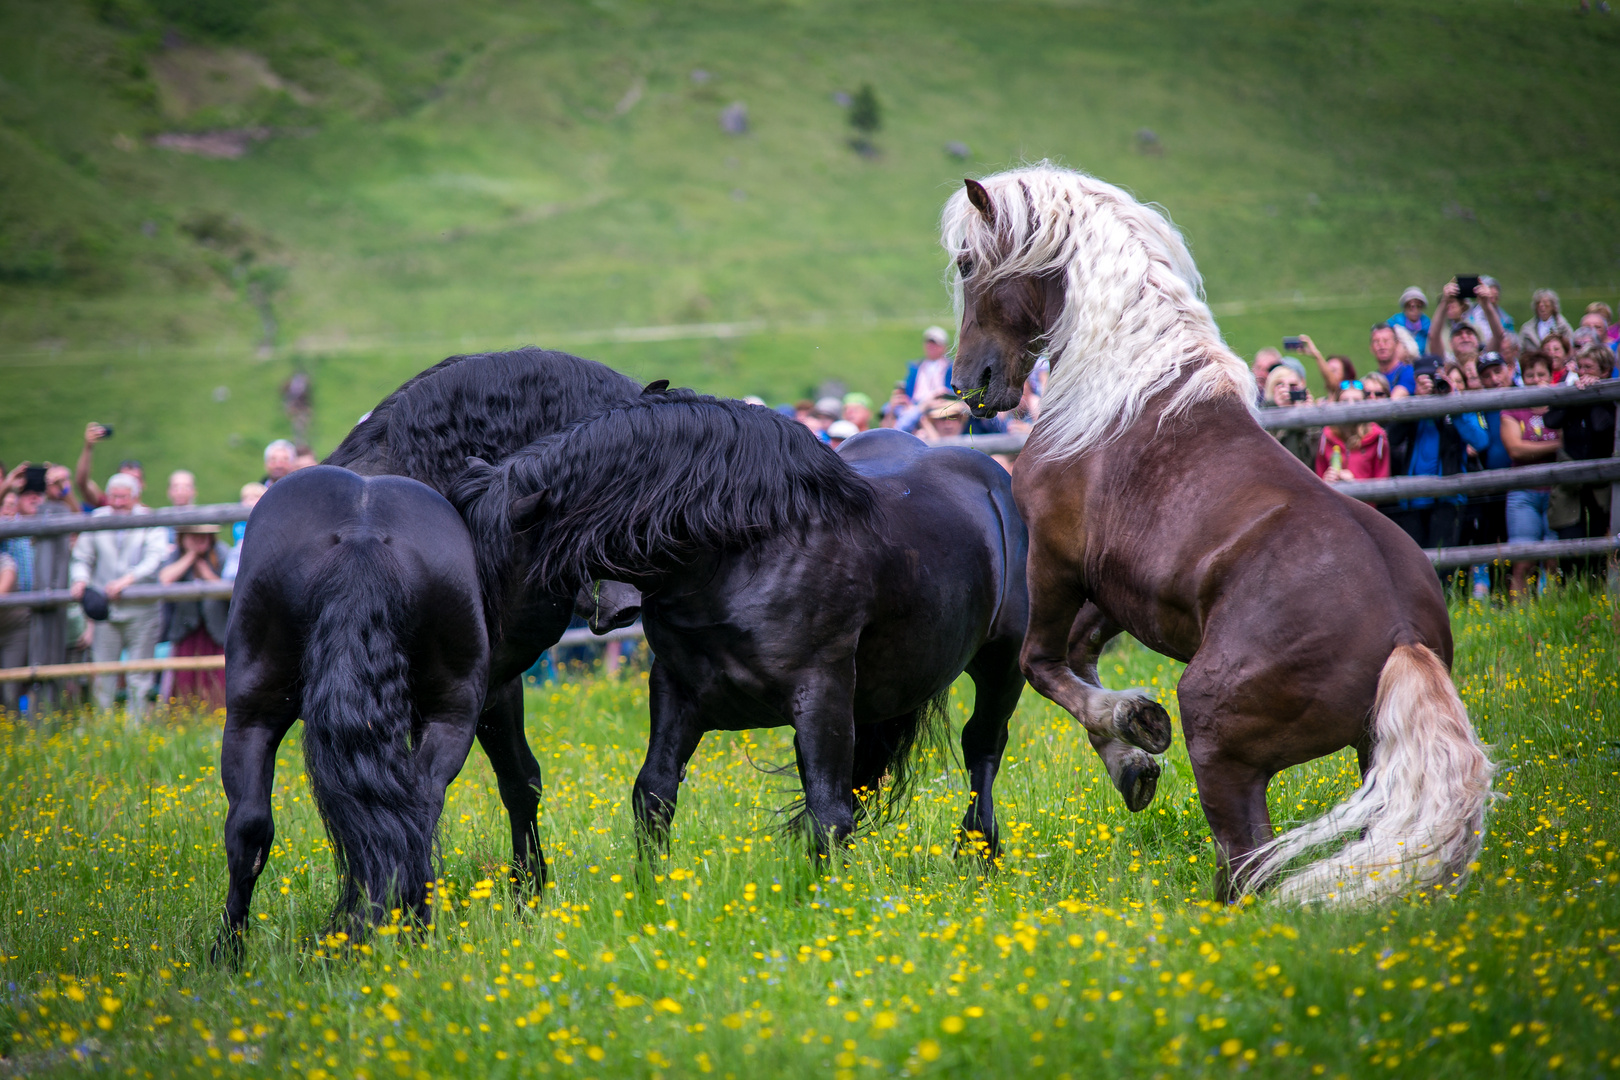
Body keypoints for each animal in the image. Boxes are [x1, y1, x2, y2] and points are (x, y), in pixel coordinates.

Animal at [217, 348, 644, 952]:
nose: (624, 604)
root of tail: (362, 537)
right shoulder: (496, 689)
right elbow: (522, 782)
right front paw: (529, 895)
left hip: (252, 707)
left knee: (250, 825)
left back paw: (231, 952)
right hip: (452, 709)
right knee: (419, 807)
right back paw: (415, 931)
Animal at [453, 395, 1023, 861]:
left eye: (493, 574)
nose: (473, 674)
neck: (740, 553)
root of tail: (995, 475)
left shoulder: (821, 694)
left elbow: (828, 816)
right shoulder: (677, 691)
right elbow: (653, 795)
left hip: (1001, 667)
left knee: (983, 748)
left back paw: (978, 853)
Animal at [946, 162, 1490, 906]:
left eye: (969, 263)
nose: (966, 383)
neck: (1121, 394)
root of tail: (1403, 637)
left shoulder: (1054, 562)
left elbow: (1044, 665)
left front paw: (1137, 727)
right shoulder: (1122, 595)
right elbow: (1078, 658)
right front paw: (1133, 761)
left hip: (1218, 736)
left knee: (1250, 866)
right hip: (1369, 757)